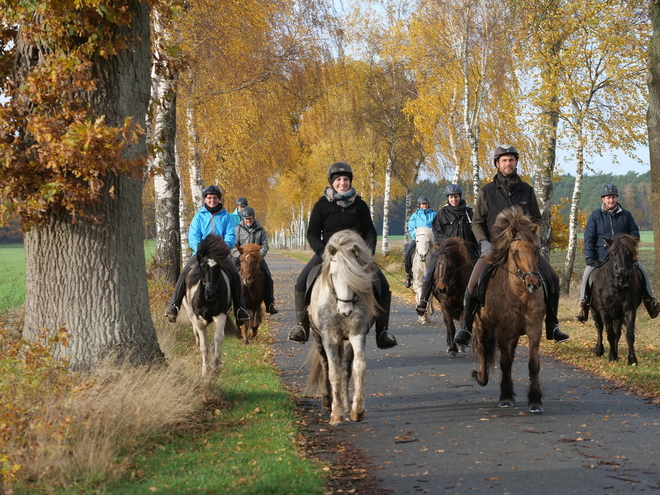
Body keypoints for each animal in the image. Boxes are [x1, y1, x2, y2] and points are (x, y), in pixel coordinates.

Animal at [183, 234, 240, 378]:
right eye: (202, 266)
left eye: (218, 267)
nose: (210, 293)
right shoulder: (198, 319)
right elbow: (204, 346)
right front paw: (205, 371)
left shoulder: (220, 316)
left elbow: (217, 339)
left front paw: (215, 367)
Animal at [302, 230, 376, 426]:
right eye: (333, 275)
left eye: (356, 275)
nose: (346, 311)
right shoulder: (329, 337)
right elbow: (333, 372)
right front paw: (336, 414)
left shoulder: (357, 334)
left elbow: (358, 367)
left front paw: (357, 410)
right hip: (318, 337)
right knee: (326, 365)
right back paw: (328, 403)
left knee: (346, 370)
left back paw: (345, 405)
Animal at [472, 207, 544, 412]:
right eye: (515, 252)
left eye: (536, 249)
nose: (533, 284)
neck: (520, 294)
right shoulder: (502, 331)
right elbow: (504, 363)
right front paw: (504, 397)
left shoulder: (534, 329)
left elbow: (533, 364)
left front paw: (535, 400)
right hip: (482, 325)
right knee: (482, 348)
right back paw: (482, 378)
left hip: (514, 334)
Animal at [592, 234, 640, 366]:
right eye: (613, 254)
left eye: (629, 253)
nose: (623, 277)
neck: (616, 287)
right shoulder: (605, 311)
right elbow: (609, 334)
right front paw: (612, 356)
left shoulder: (629, 309)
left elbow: (629, 334)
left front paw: (632, 359)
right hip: (595, 311)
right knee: (599, 327)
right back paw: (599, 350)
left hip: (618, 315)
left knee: (617, 333)